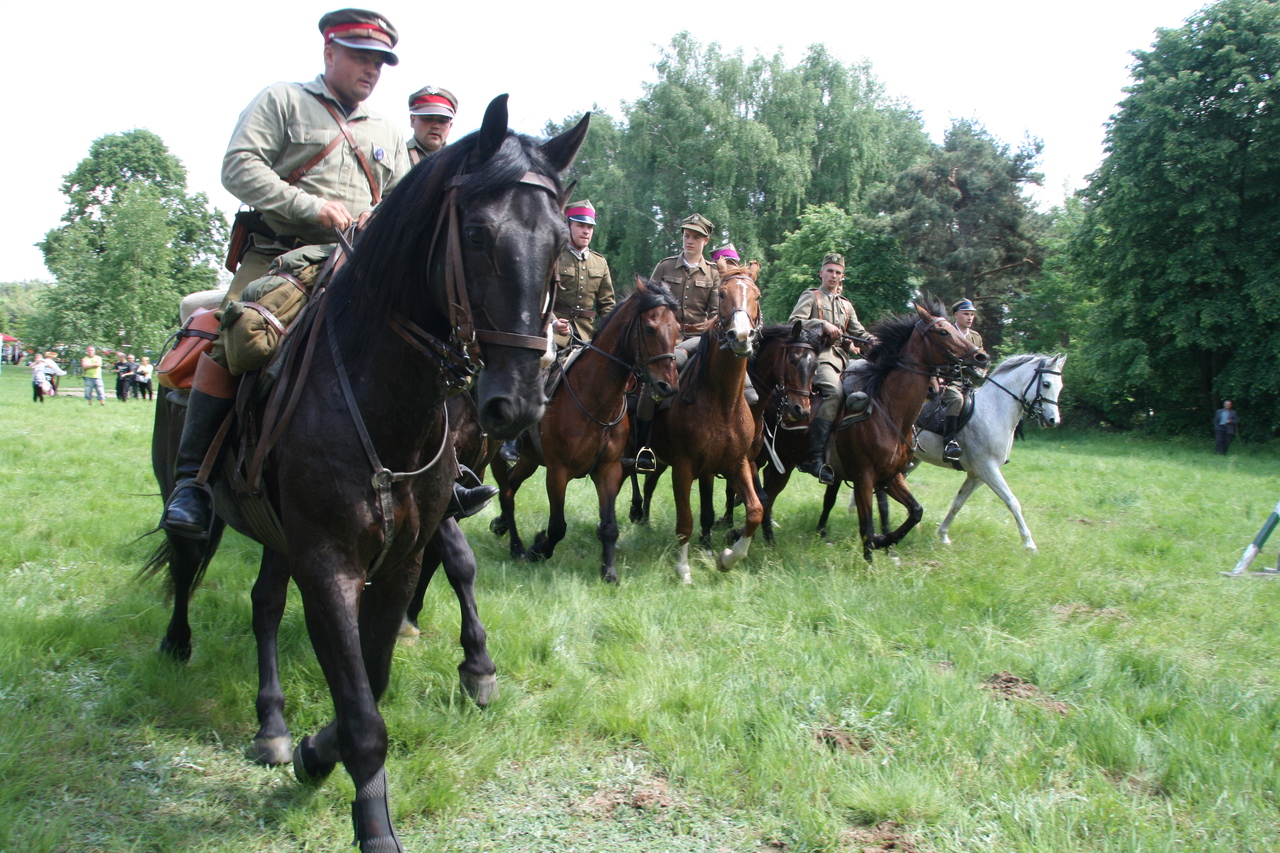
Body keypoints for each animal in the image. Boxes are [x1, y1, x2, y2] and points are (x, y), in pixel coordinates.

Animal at [488, 275, 686, 581]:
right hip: (498, 454)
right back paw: (517, 547)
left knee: (511, 484)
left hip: (530, 459)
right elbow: (557, 526)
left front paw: (609, 572)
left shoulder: (608, 470)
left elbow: (609, 526)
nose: (669, 387)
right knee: (507, 492)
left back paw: (502, 527)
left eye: (677, 328)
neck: (595, 399)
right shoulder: (557, 472)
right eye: (650, 329)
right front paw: (537, 549)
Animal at [860, 350, 1070, 550]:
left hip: (913, 460)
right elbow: (1012, 501)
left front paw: (943, 535)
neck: (993, 410)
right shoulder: (987, 469)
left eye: (1060, 386)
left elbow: (958, 503)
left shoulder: (977, 475)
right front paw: (1029, 543)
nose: (1053, 420)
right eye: (1046, 384)